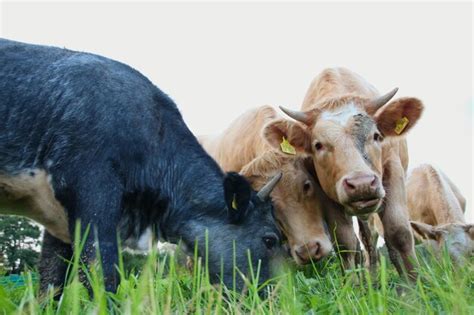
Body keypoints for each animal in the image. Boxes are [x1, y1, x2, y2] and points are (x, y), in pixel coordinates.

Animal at [0, 39, 282, 294]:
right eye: (270, 239)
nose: (268, 296)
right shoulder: (92, 190)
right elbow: (102, 274)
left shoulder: (57, 218)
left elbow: (51, 281)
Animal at [264, 68, 424, 280]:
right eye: (318, 145)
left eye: (376, 136)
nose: (362, 184)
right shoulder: (324, 190)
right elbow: (345, 242)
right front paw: (353, 284)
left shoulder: (393, 169)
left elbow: (399, 232)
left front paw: (415, 283)